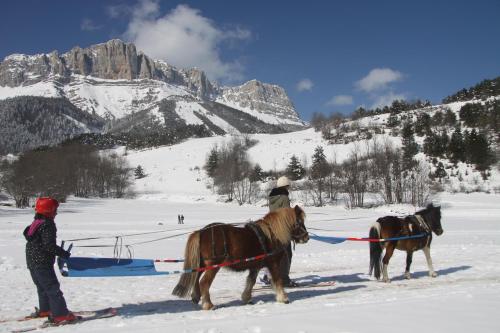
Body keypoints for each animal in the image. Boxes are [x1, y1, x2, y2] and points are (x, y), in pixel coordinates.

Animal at [173, 205, 308, 308]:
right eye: (299, 222)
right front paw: (283, 298)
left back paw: (196, 297)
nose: (306, 237)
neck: (272, 235)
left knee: (196, 278)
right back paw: (208, 305)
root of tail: (201, 232)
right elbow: (278, 280)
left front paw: (246, 298)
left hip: (202, 264)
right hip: (213, 265)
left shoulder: (256, 265)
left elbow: (251, 281)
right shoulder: (273, 264)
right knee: (204, 283)